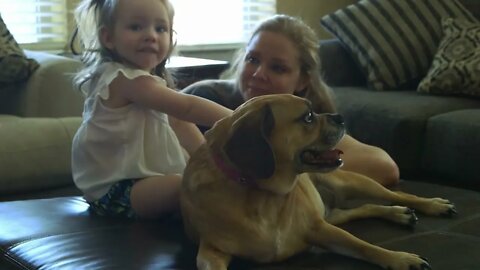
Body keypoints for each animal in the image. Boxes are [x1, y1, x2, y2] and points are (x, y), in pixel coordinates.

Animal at [179, 94, 454, 268]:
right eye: (308, 117)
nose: (340, 116)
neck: (262, 195)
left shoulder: (320, 229)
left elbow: (365, 246)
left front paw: (400, 259)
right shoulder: (211, 250)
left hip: (352, 184)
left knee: (396, 195)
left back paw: (430, 205)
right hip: (333, 213)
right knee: (362, 208)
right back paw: (399, 214)